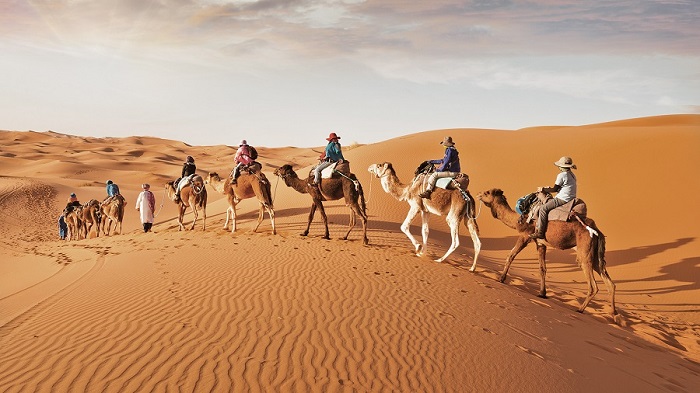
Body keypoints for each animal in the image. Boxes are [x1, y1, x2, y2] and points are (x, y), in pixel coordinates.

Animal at [476, 188, 616, 314]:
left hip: (584, 252)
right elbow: (542, 269)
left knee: (593, 285)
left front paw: (501, 278)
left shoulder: (525, 236)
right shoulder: (540, 243)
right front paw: (542, 293)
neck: (519, 220)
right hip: (595, 255)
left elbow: (511, 255)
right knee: (609, 282)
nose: (478, 194)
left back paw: (580, 309)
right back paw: (613, 314)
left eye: (487, 192)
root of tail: (597, 231)